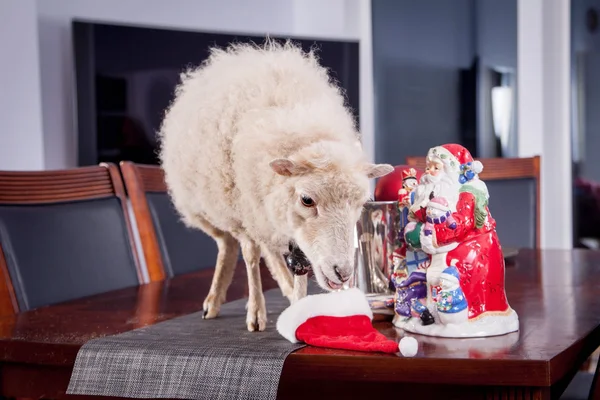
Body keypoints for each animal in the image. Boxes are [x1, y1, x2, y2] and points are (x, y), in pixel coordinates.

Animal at [158, 39, 394, 332]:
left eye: (360, 203)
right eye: (307, 200)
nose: (343, 273)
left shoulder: (284, 225)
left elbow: (298, 268)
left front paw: (299, 305)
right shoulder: (246, 209)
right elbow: (250, 256)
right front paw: (256, 311)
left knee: (266, 248)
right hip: (205, 207)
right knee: (228, 244)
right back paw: (214, 301)